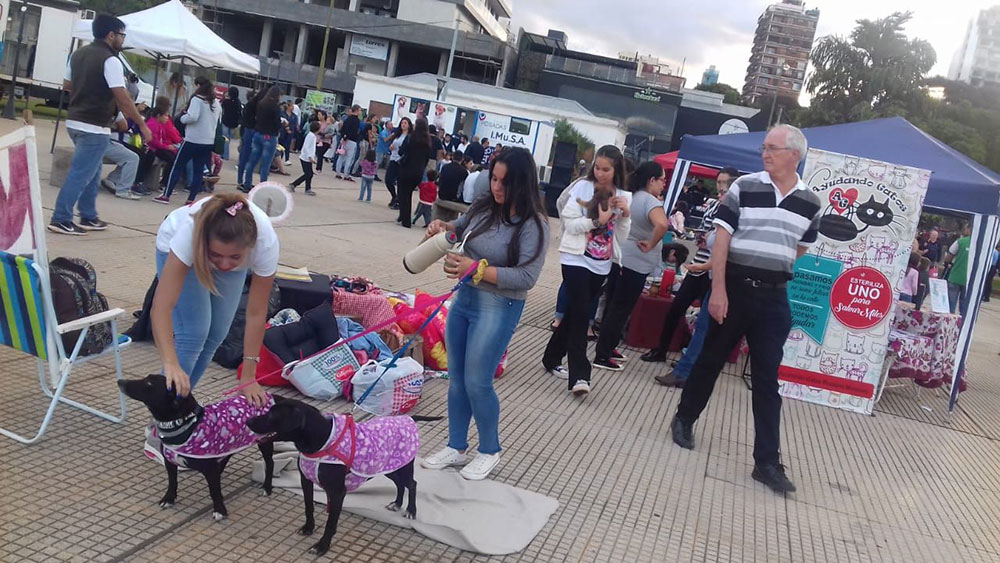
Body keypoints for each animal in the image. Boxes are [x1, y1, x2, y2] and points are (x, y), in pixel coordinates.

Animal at [117, 374, 277, 522]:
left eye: (149, 383)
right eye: (147, 378)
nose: (120, 381)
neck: (185, 425)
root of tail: (273, 396)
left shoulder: (210, 469)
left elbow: (215, 491)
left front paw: (220, 510)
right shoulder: (170, 462)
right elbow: (172, 482)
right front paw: (169, 498)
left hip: (264, 441)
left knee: (270, 463)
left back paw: (267, 487)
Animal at [246, 398, 440, 556]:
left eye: (272, 415)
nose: (248, 421)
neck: (320, 442)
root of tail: (408, 418)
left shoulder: (338, 492)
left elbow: (330, 522)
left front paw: (322, 546)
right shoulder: (306, 481)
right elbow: (309, 507)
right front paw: (309, 528)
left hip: (402, 468)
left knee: (412, 484)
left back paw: (411, 510)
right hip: (389, 467)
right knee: (400, 485)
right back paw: (397, 504)